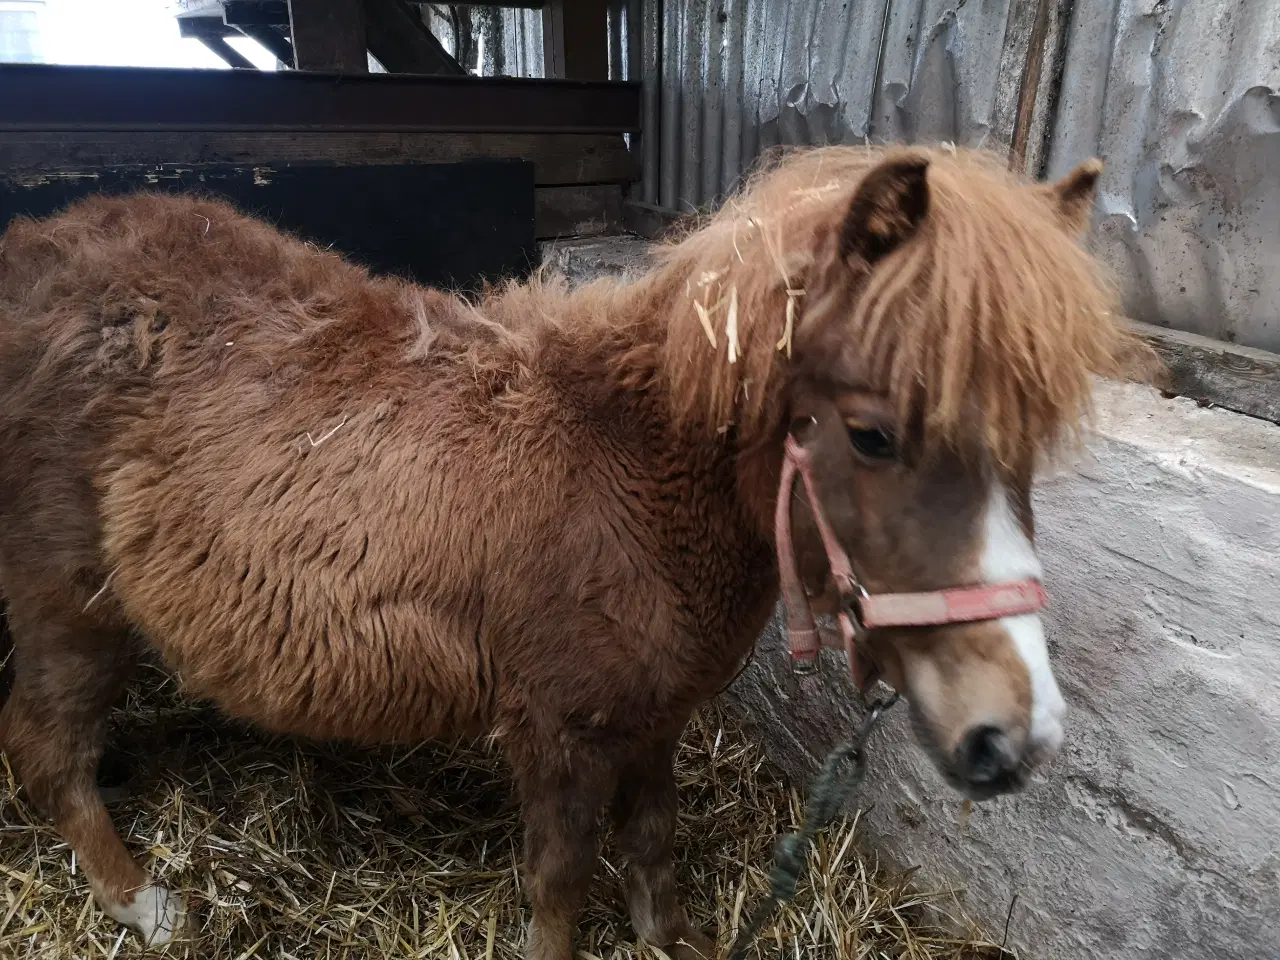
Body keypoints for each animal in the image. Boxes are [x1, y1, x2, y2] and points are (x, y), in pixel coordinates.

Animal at [0, 145, 1145, 958]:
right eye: (870, 435)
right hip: (68, 607)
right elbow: (559, 887)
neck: (628, 467)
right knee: (43, 747)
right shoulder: (560, 733)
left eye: (1030, 441)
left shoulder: (653, 718)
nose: (1012, 738)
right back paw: (145, 903)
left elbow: (652, 847)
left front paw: (673, 941)